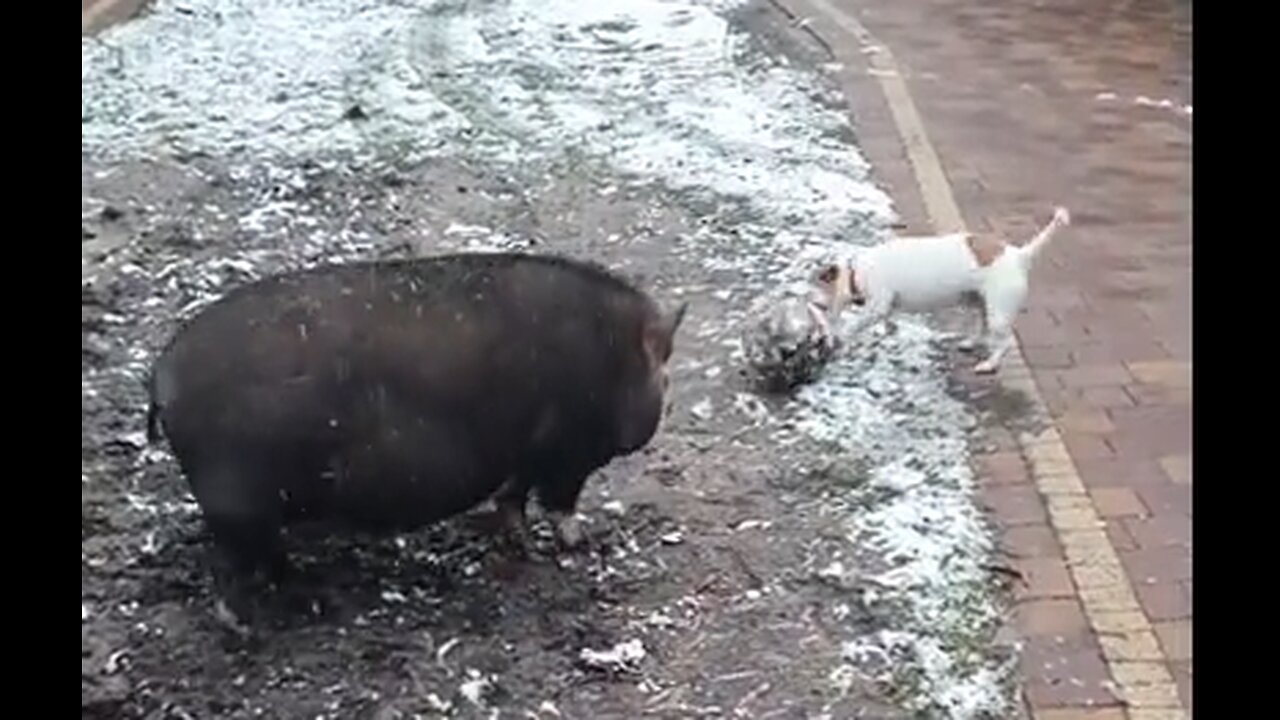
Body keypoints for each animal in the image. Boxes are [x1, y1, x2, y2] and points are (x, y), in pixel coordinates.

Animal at [145, 251, 686, 622]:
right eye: (664, 373)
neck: (616, 355)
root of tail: (162, 372)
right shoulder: (568, 452)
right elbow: (558, 503)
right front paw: (582, 546)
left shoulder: (530, 458)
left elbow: (513, 498)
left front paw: (526, 545)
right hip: (237, 503)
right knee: (234, 569)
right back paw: (260, 619)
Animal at [808, 203, 1070, 368]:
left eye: (818, 289)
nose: (814, 309)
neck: (857, 272)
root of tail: (1020, 255)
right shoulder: (884, 308)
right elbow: (886, 320)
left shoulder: (877, 305)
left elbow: (854, 324)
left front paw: (840, 336)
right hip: (979, 303)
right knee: (982, 328)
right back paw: (970, 343)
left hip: (999, 311)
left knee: (1003, 343)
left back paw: (989, 365)